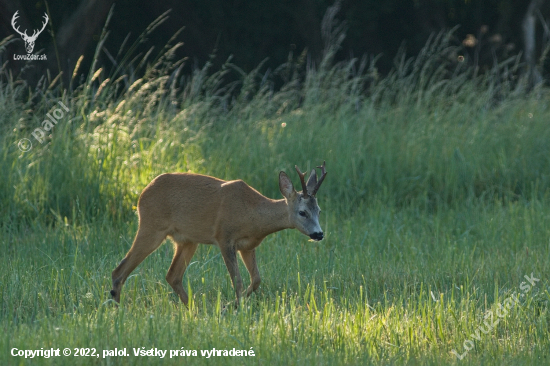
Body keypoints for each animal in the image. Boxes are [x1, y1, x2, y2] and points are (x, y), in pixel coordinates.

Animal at [111, 162, 328, 304]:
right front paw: (235, 308)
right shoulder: (224, 237)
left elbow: (256, 279)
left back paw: (193, 310)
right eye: (302, 212)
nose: (319, 234)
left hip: (187, 240)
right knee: (119, 270)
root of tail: (142, 193)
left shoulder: (248, 246)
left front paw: (234, 305)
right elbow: (237, 281)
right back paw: (117, 308)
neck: (253, 216)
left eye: (319, 210)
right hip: (151, 226)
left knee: (173, 276)